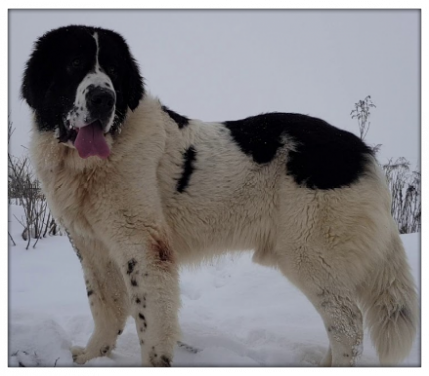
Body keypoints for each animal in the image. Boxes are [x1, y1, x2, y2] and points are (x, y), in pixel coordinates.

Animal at [21, 25, 416, 366]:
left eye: (114, 69)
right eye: (74, 64)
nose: (104, 98)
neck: (89, 164)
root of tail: (360, 149)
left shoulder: (143, 247)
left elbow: (150, 319)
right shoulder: (93, 248)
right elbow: (105, 307)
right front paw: (93, 357)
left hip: (311, 253)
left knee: (348, 323)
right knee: (341, 322)